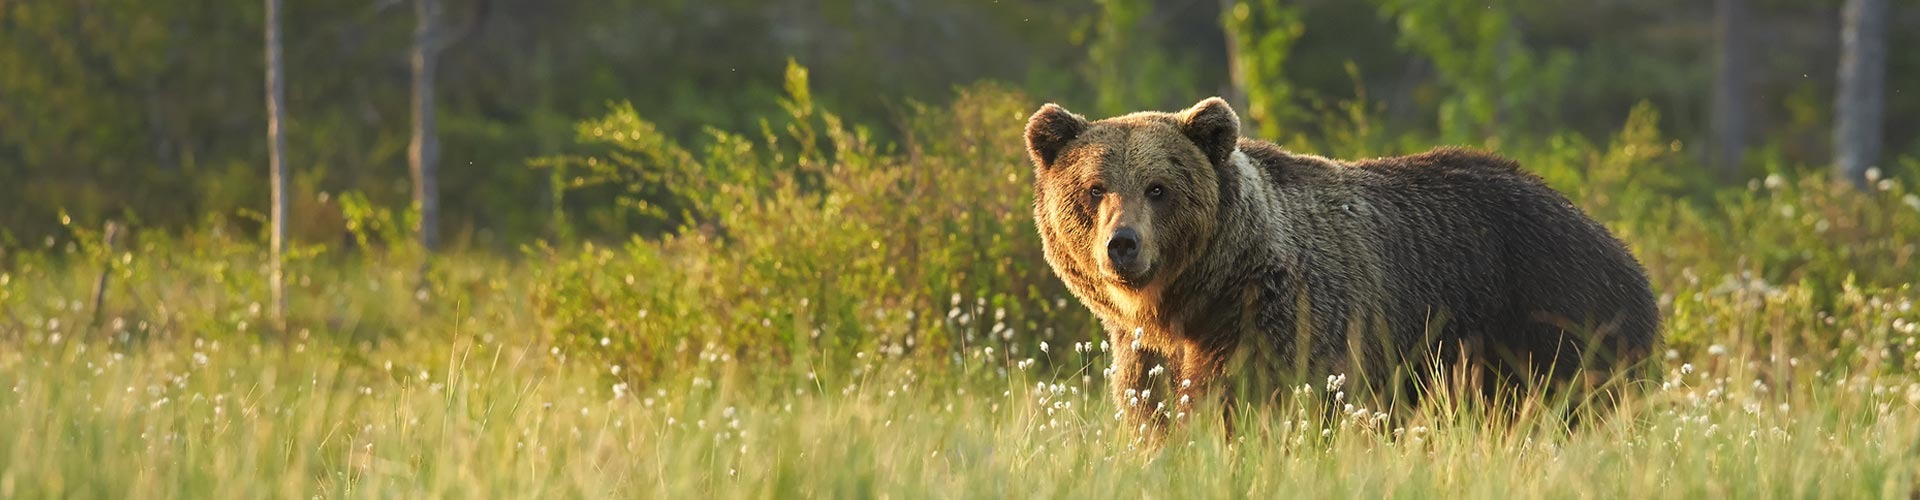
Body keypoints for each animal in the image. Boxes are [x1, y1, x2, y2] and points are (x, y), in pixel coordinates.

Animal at [1029, 96, 1658, 428]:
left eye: (1158, 188)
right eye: (1094, 188)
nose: (1123, 243)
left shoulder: (1288, 319)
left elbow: (1265, 402)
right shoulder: (1147, 353)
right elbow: (1155, 413)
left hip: (1553, 315)